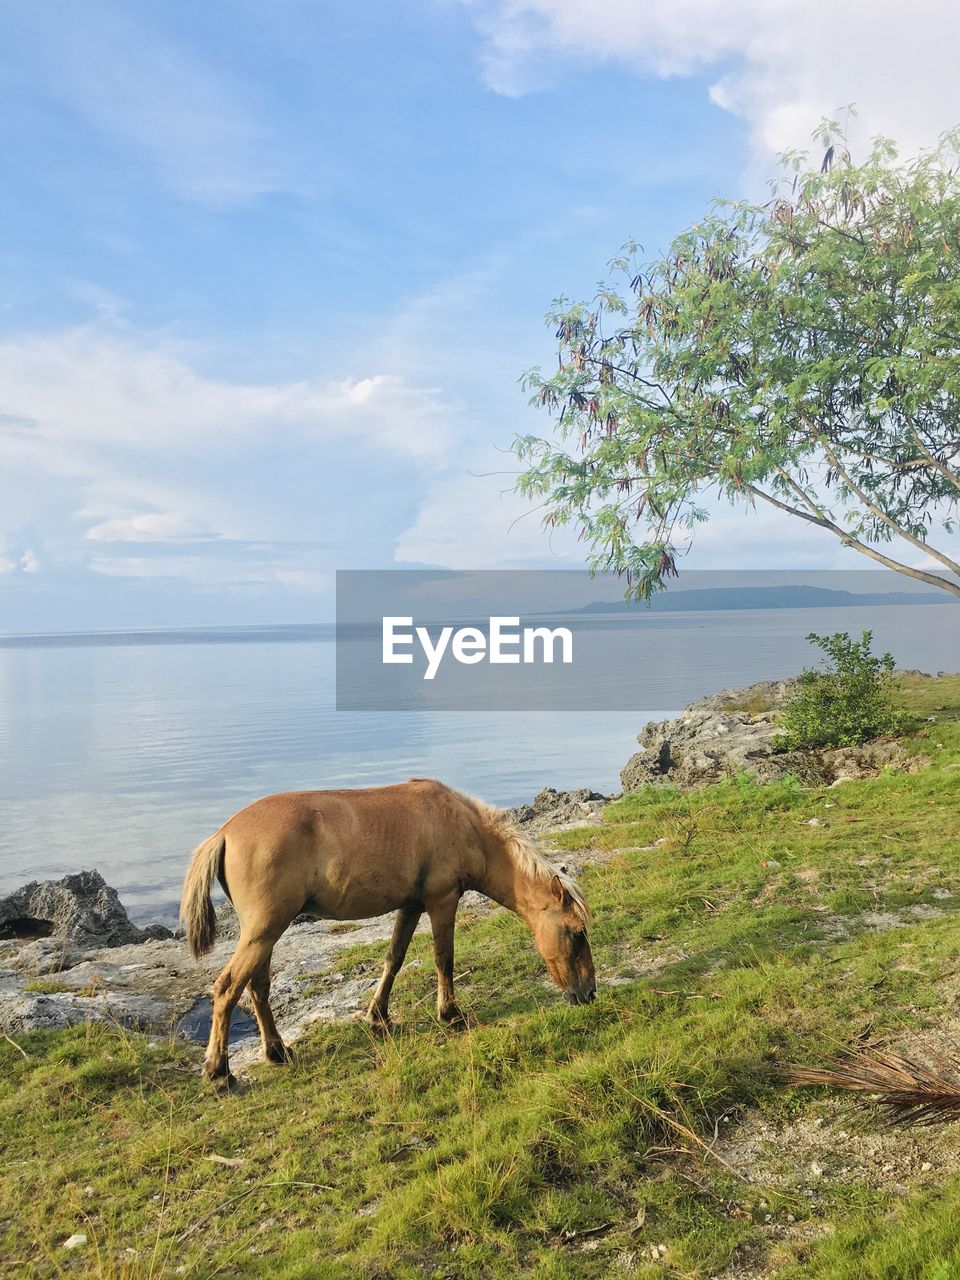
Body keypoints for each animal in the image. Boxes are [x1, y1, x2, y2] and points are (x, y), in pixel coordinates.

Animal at [180, 773, 593, 1085]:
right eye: (576, 933)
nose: (589, 994)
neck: (464, 826)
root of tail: (225, 833)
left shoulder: (410, 906)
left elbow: (394, 958)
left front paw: (378, 1016)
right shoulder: (442, 901)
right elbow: (444, 958)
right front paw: (451, 1014)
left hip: (265, 933)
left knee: (258, 988)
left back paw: (276, 1051)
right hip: (264, 930)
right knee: (228, 988)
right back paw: (218, 1071)